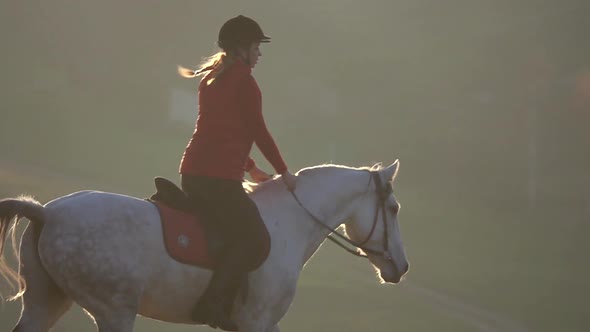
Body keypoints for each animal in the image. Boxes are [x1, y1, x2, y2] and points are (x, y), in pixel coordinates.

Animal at [0, 160, 410, 330]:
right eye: (393, 208)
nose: (401, 267)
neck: (288, 225)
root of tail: (48, 214)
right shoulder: (257, 322)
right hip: (114, 311)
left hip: (46, 302)